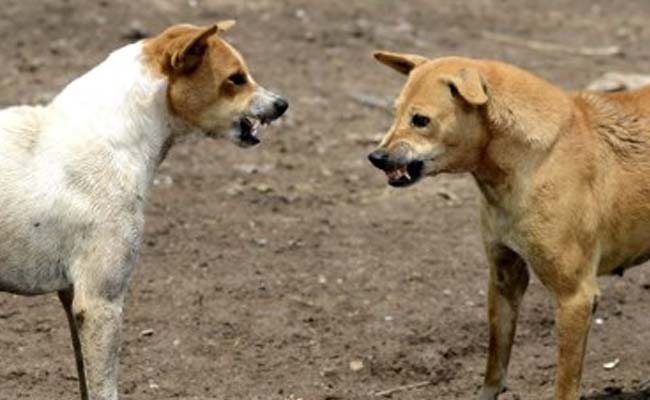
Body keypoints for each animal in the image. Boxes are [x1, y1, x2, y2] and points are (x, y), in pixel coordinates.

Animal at [368, 50, 644, 400]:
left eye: (420, 120)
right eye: (395, 112)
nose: (376, 157)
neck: (533, 159)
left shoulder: (575, 297)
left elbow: (565, 384)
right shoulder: (504, 277)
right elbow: (495, 362)